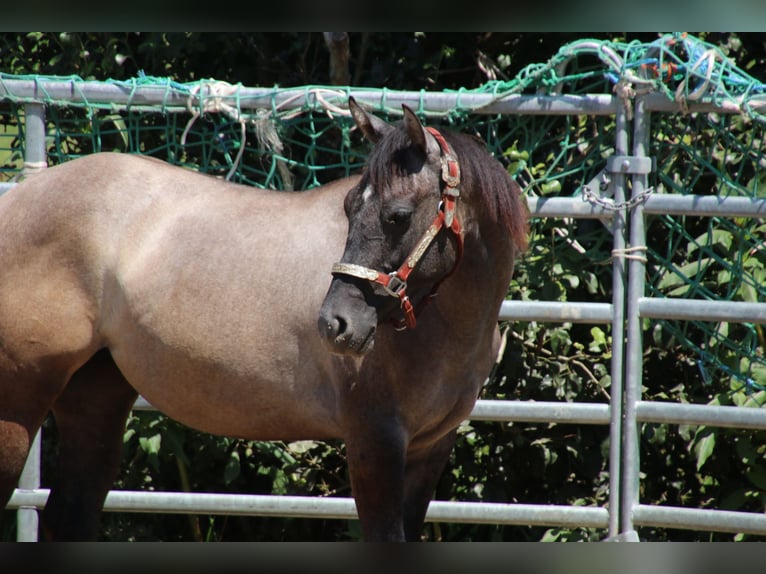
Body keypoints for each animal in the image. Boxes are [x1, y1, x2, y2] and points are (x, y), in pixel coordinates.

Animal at [0, 97, 528, 544]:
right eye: (349, 207)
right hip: (20, 400)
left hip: (96, 398)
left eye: (397, 215)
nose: (335, 323)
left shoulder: (429, 449)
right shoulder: (375, 442)